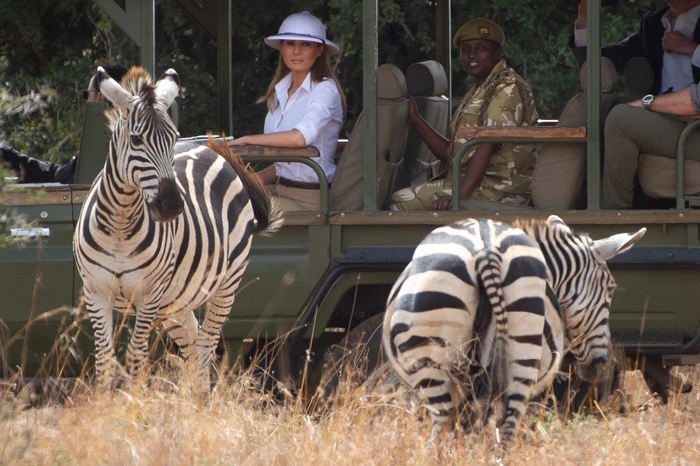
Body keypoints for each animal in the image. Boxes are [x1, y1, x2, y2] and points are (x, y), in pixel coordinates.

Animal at [74, 66, 282, 393]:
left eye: (172, 138)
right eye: (136, 139)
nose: (171, 205)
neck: (120, 225)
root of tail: (209, 151)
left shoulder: (149, 296)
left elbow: (136, 354)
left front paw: (133, 403)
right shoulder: (96, 292)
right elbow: (104, 358)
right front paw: (107, 403)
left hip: (227, 283)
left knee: (207, 344)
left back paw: (202, 402)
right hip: (177, 300)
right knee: (193, 343)